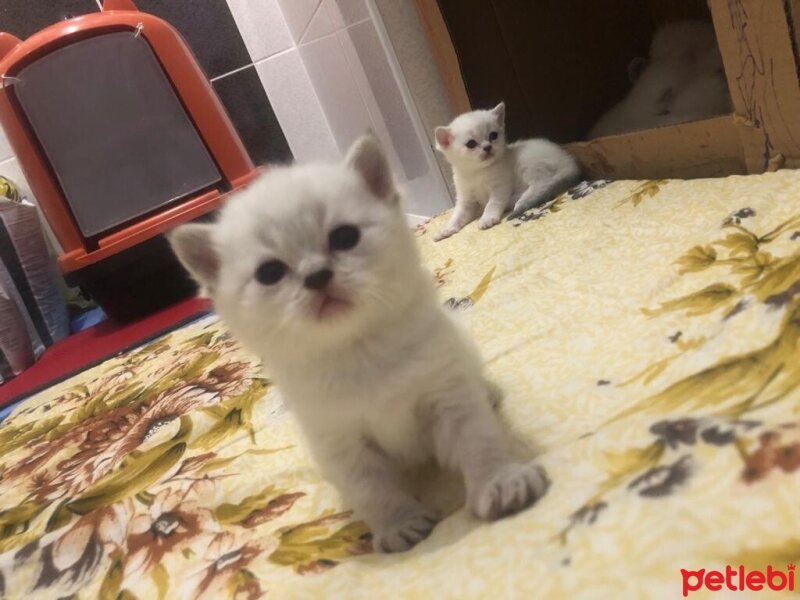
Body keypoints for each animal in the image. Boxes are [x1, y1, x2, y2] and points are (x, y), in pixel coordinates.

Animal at [167, 135, 544, 552]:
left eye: (344, 237)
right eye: (269, 273)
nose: (316, 276)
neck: (357, 349)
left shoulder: (450, 399)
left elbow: (480, 444)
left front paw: (499, 482)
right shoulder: (341, 443)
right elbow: (371, 490)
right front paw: (399, 524)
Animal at [434, 101, 580, 239]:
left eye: (493, 135)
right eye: (471, 144)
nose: (487, 147)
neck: (477, 172)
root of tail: (568, 160)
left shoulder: (500, 187)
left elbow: (493, 203)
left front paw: (487, 218)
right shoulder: (466, 199)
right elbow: (458, 215)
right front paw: (446, 229)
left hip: (528, 163)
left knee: (541, 185)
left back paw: (518, 201)